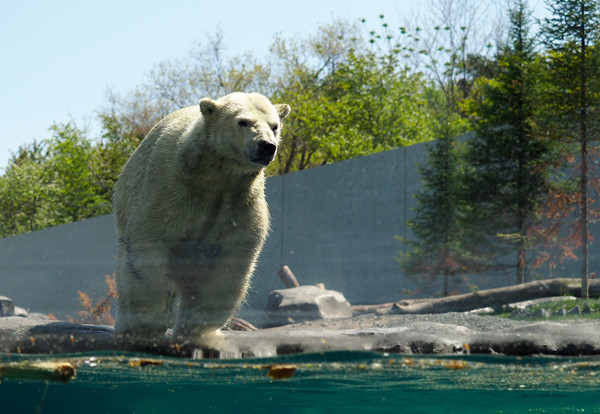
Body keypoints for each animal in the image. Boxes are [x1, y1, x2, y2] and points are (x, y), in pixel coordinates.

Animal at [113, 92, 292, 348]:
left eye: (274, 125)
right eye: (243, 122)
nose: (266, 146)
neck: (213, 174)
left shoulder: (239, 205)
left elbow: (227, 266)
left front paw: (197, 333)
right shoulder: (170, 191)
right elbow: (148, 244)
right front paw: (145, 328)